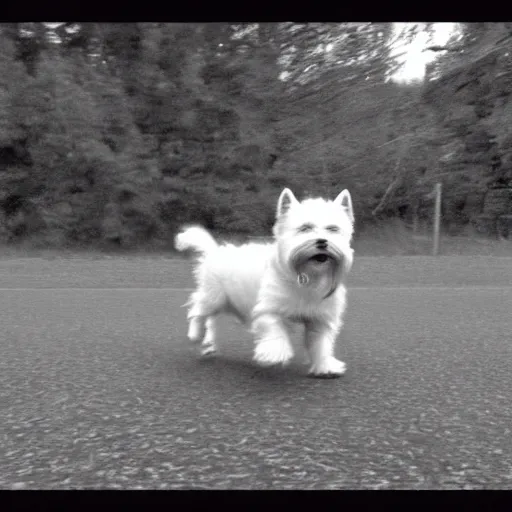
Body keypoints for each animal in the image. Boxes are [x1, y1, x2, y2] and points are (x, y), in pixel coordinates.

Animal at [174, 187, 354, 376]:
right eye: (305, 228)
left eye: (333, 229)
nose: (322, 242)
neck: (307, 274)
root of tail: (214, 252)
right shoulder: (267, 309)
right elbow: (274, 328)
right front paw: (275, 353)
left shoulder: (320, 319)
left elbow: (320, 343)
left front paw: (325, 366)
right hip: (214, 297)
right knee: (197, 310)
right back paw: (196, 333)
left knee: (210, 319)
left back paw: (209, 345)